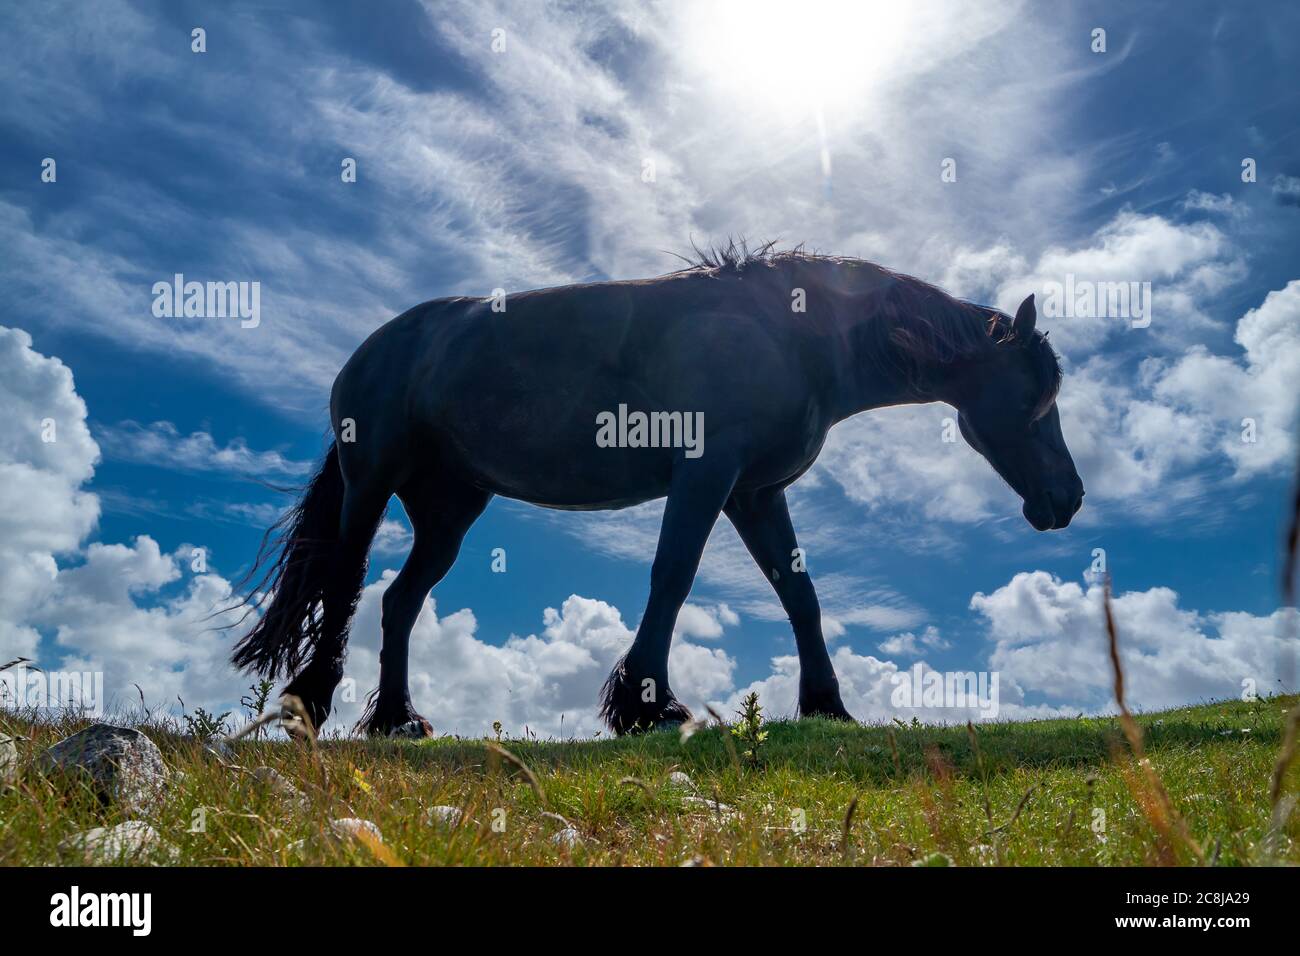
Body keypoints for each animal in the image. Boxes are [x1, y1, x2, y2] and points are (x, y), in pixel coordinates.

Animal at [231, 245, 1084, 737]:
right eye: (1038, 397)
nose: (1068, 498)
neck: (793, 334)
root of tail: (376, 348)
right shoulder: (707, 474)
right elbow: (672, 577)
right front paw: (647, 705)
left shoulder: (754, 492)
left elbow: (799, 595)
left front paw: (826, 705)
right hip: (370, 484)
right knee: (344, 585)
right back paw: (315, 705)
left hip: (451, 511)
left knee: (399, 603)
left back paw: (396, 720)